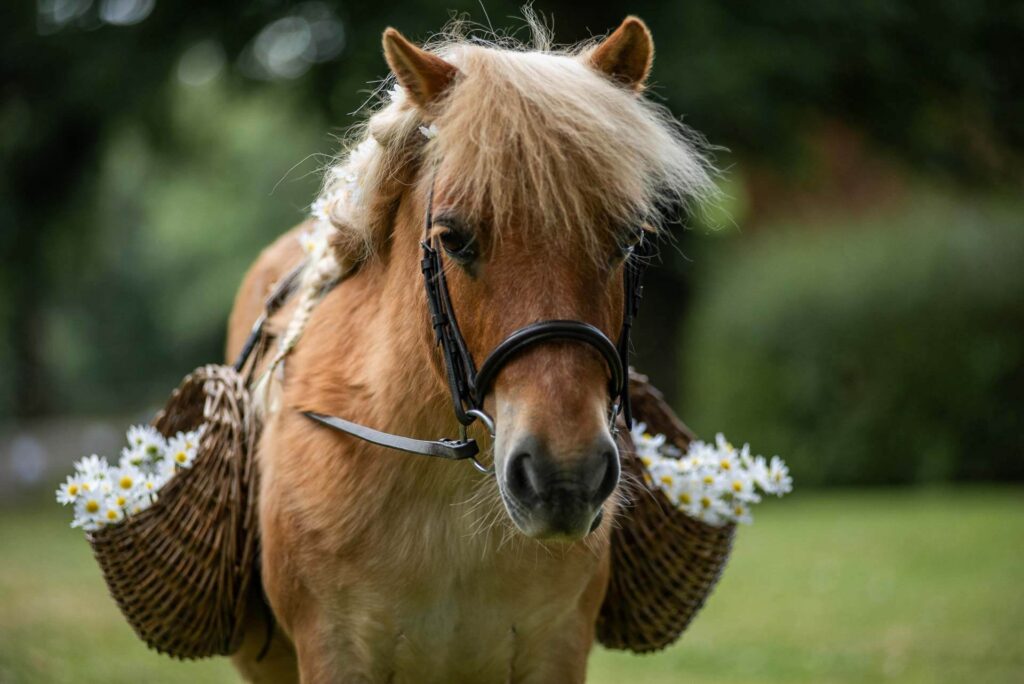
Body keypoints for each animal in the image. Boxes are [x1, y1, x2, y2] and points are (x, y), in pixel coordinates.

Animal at [224, 15, 715, 683]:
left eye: (626, 239)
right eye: (453, 239)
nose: (565, 476)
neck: (443, 495)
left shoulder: (558, 647)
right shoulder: (333, 649)